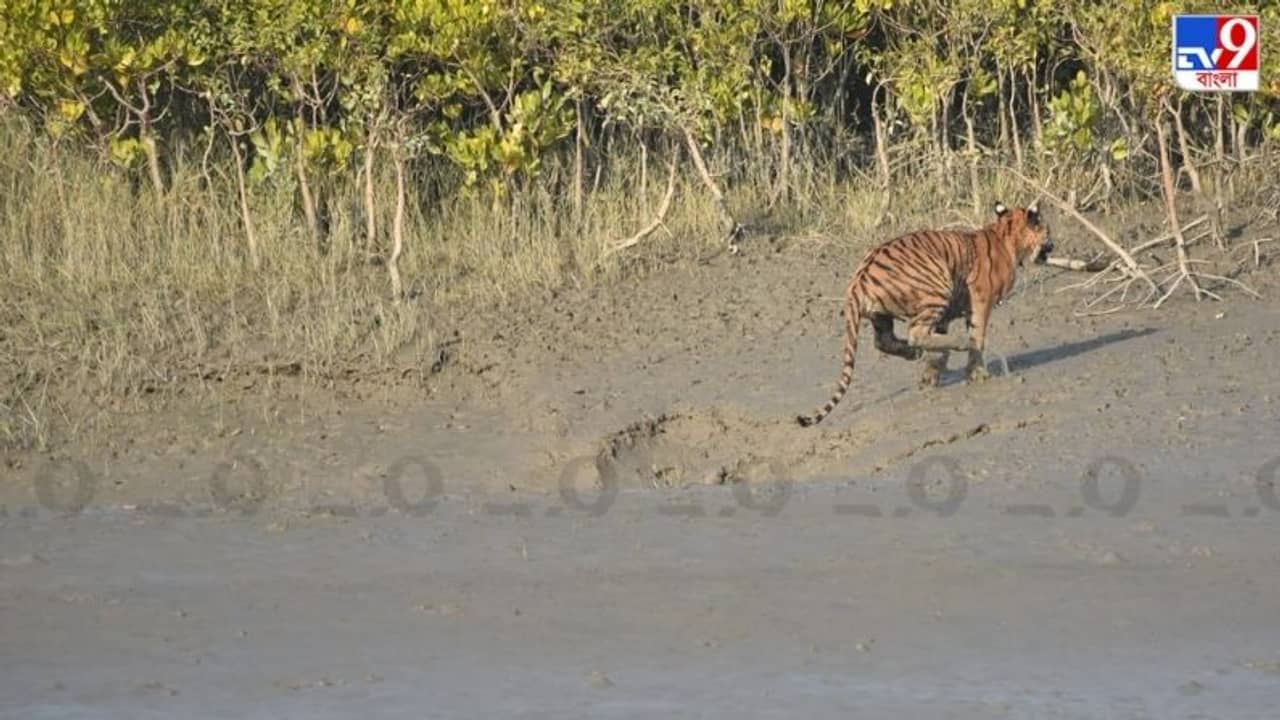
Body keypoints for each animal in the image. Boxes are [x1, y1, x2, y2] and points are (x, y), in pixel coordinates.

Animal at [796, 201, 1053, 427]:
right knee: (915, 332)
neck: (1005, 235)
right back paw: (956, 342)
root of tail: (859, 280)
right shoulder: (980, 300)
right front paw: (978, 374)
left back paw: (913, 353)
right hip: (937, 286)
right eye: (1046, 230)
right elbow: (977, 336)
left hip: (883, 314)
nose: (1053, 244)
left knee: (884, 340)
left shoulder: (948, 314)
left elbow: (939, 348)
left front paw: (931, 374)